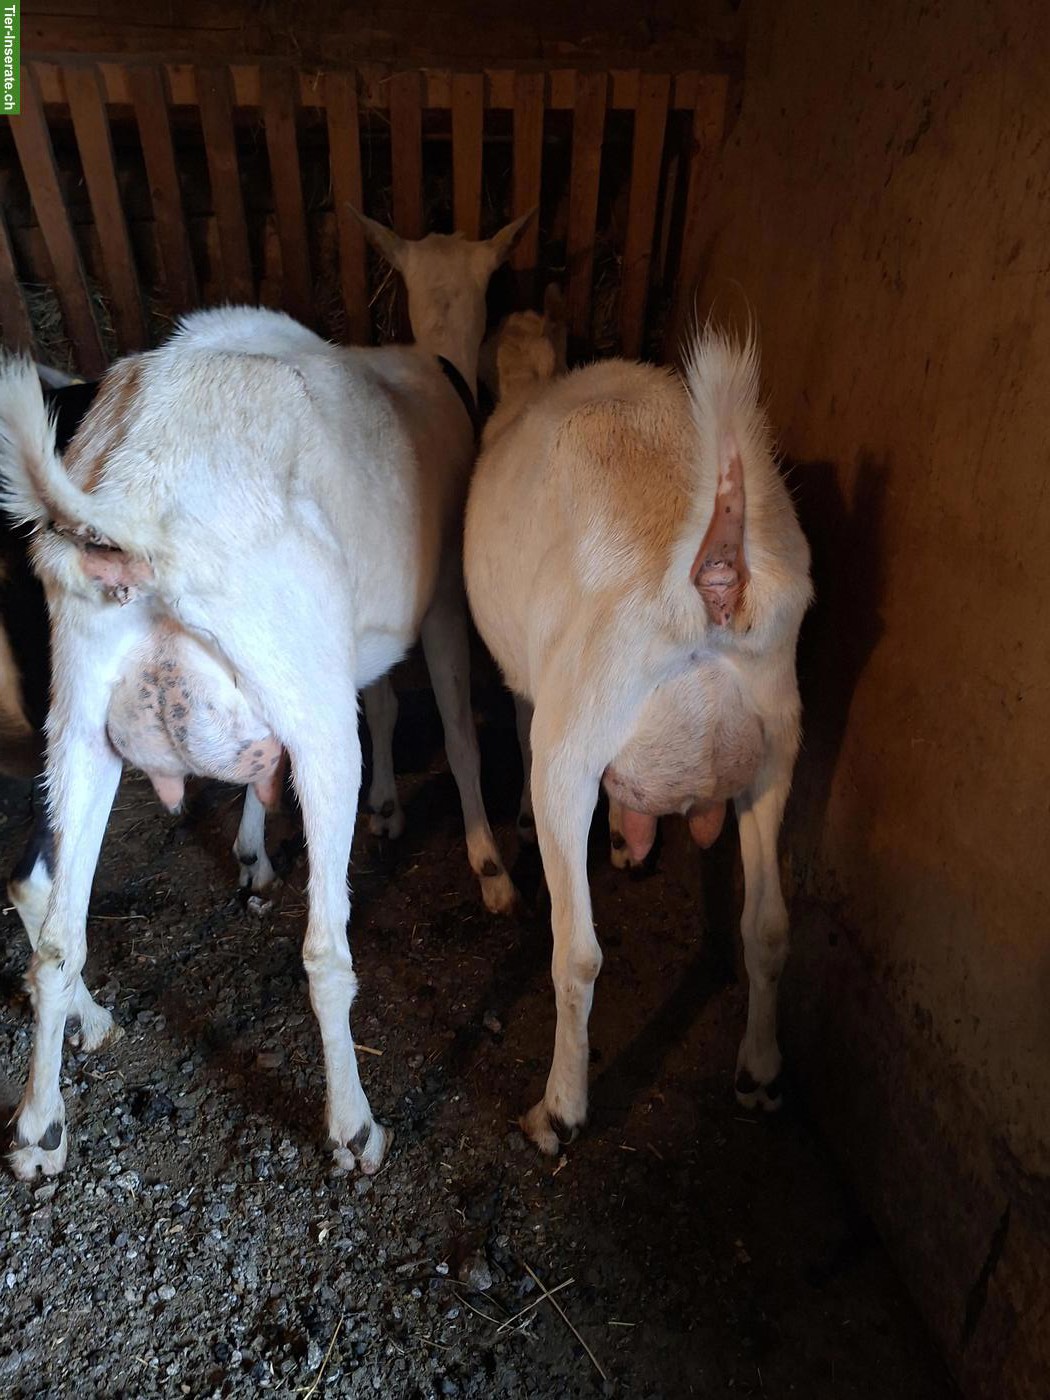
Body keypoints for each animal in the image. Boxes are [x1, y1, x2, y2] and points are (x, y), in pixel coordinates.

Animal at [0, 210, 530, 1180]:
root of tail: (139, 496)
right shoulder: (439, 602)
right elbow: (456, 731)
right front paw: (486, 863)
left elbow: (364, 713)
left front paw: (271, 844)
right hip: (307, 695)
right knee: (324, 952)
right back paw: (354, 1127)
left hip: (81, 709)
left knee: (56, 933)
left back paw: (40, 1125)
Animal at [464, 307, 813, 1153]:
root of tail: (716, 574)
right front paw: (630, 841)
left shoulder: (531, 683)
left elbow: (518, 715)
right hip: (775, 739)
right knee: (769, 927)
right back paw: (759, 1075)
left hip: (574, 739)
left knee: (579, 954)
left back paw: (558, 1111)